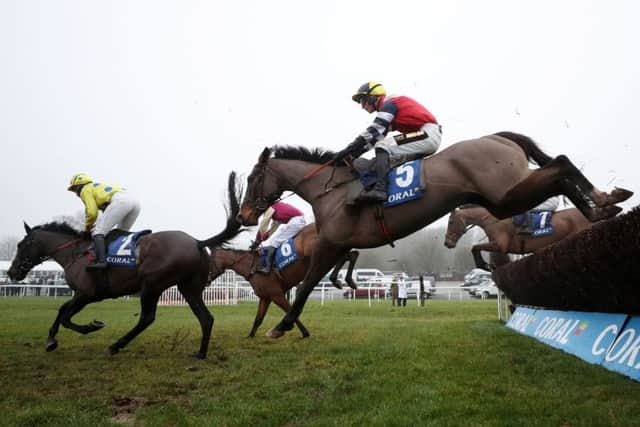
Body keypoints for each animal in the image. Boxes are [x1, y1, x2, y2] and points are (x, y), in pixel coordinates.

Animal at [7, 172, 245, 360]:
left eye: (20, 245)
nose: (11, 272)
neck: (75, 252)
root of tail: (197, 242)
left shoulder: (86, 293)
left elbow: (66, 316)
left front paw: (92, 326)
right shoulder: (84, 295)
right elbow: (62, 310)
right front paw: (51, 340)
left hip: (151, 285)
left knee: (147, 318)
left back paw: (115, 346)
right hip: (189, 288)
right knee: (206, 318)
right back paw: (201, 353)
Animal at [210, 222, 360, 340]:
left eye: (208, 261)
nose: (207, 279)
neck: (251, 266)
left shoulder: (277, 295)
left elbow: (291, 311)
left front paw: (301, 332)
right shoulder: (265, 297)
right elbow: (258, 319)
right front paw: (250, 336)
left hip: (323, 250)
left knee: (347, 256)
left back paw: (338, 279)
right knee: (352, 254)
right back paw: (344, 280)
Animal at [444, 205, 592, 270]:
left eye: (450, 222)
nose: (447, 243)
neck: (493, 220)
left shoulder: (500, 245)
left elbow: (474, 247)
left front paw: (483, 265)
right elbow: (476, 248)